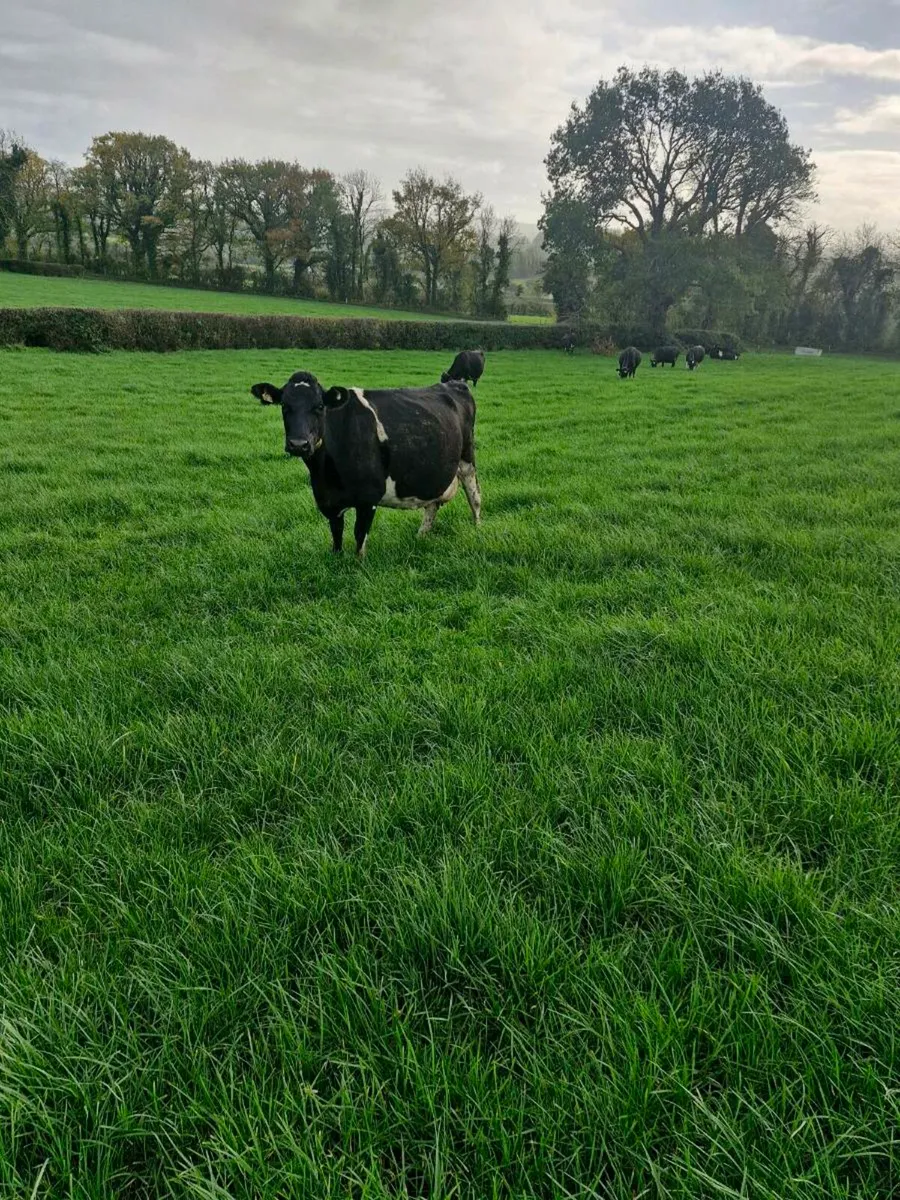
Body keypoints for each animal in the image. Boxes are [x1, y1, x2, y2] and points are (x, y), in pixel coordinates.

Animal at [251, 371, 481, 557]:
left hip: (467, 458)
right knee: (432, 504)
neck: (326, 473)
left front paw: (357, 564)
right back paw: (421, 536)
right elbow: (336, 533)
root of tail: (454, 384)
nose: (298, 444)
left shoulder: (369, 497)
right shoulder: (328, 500)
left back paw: (477, 528)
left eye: (319, 406)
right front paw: (336, 559)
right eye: (284, 406)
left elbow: (359, 535)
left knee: (474, 496)